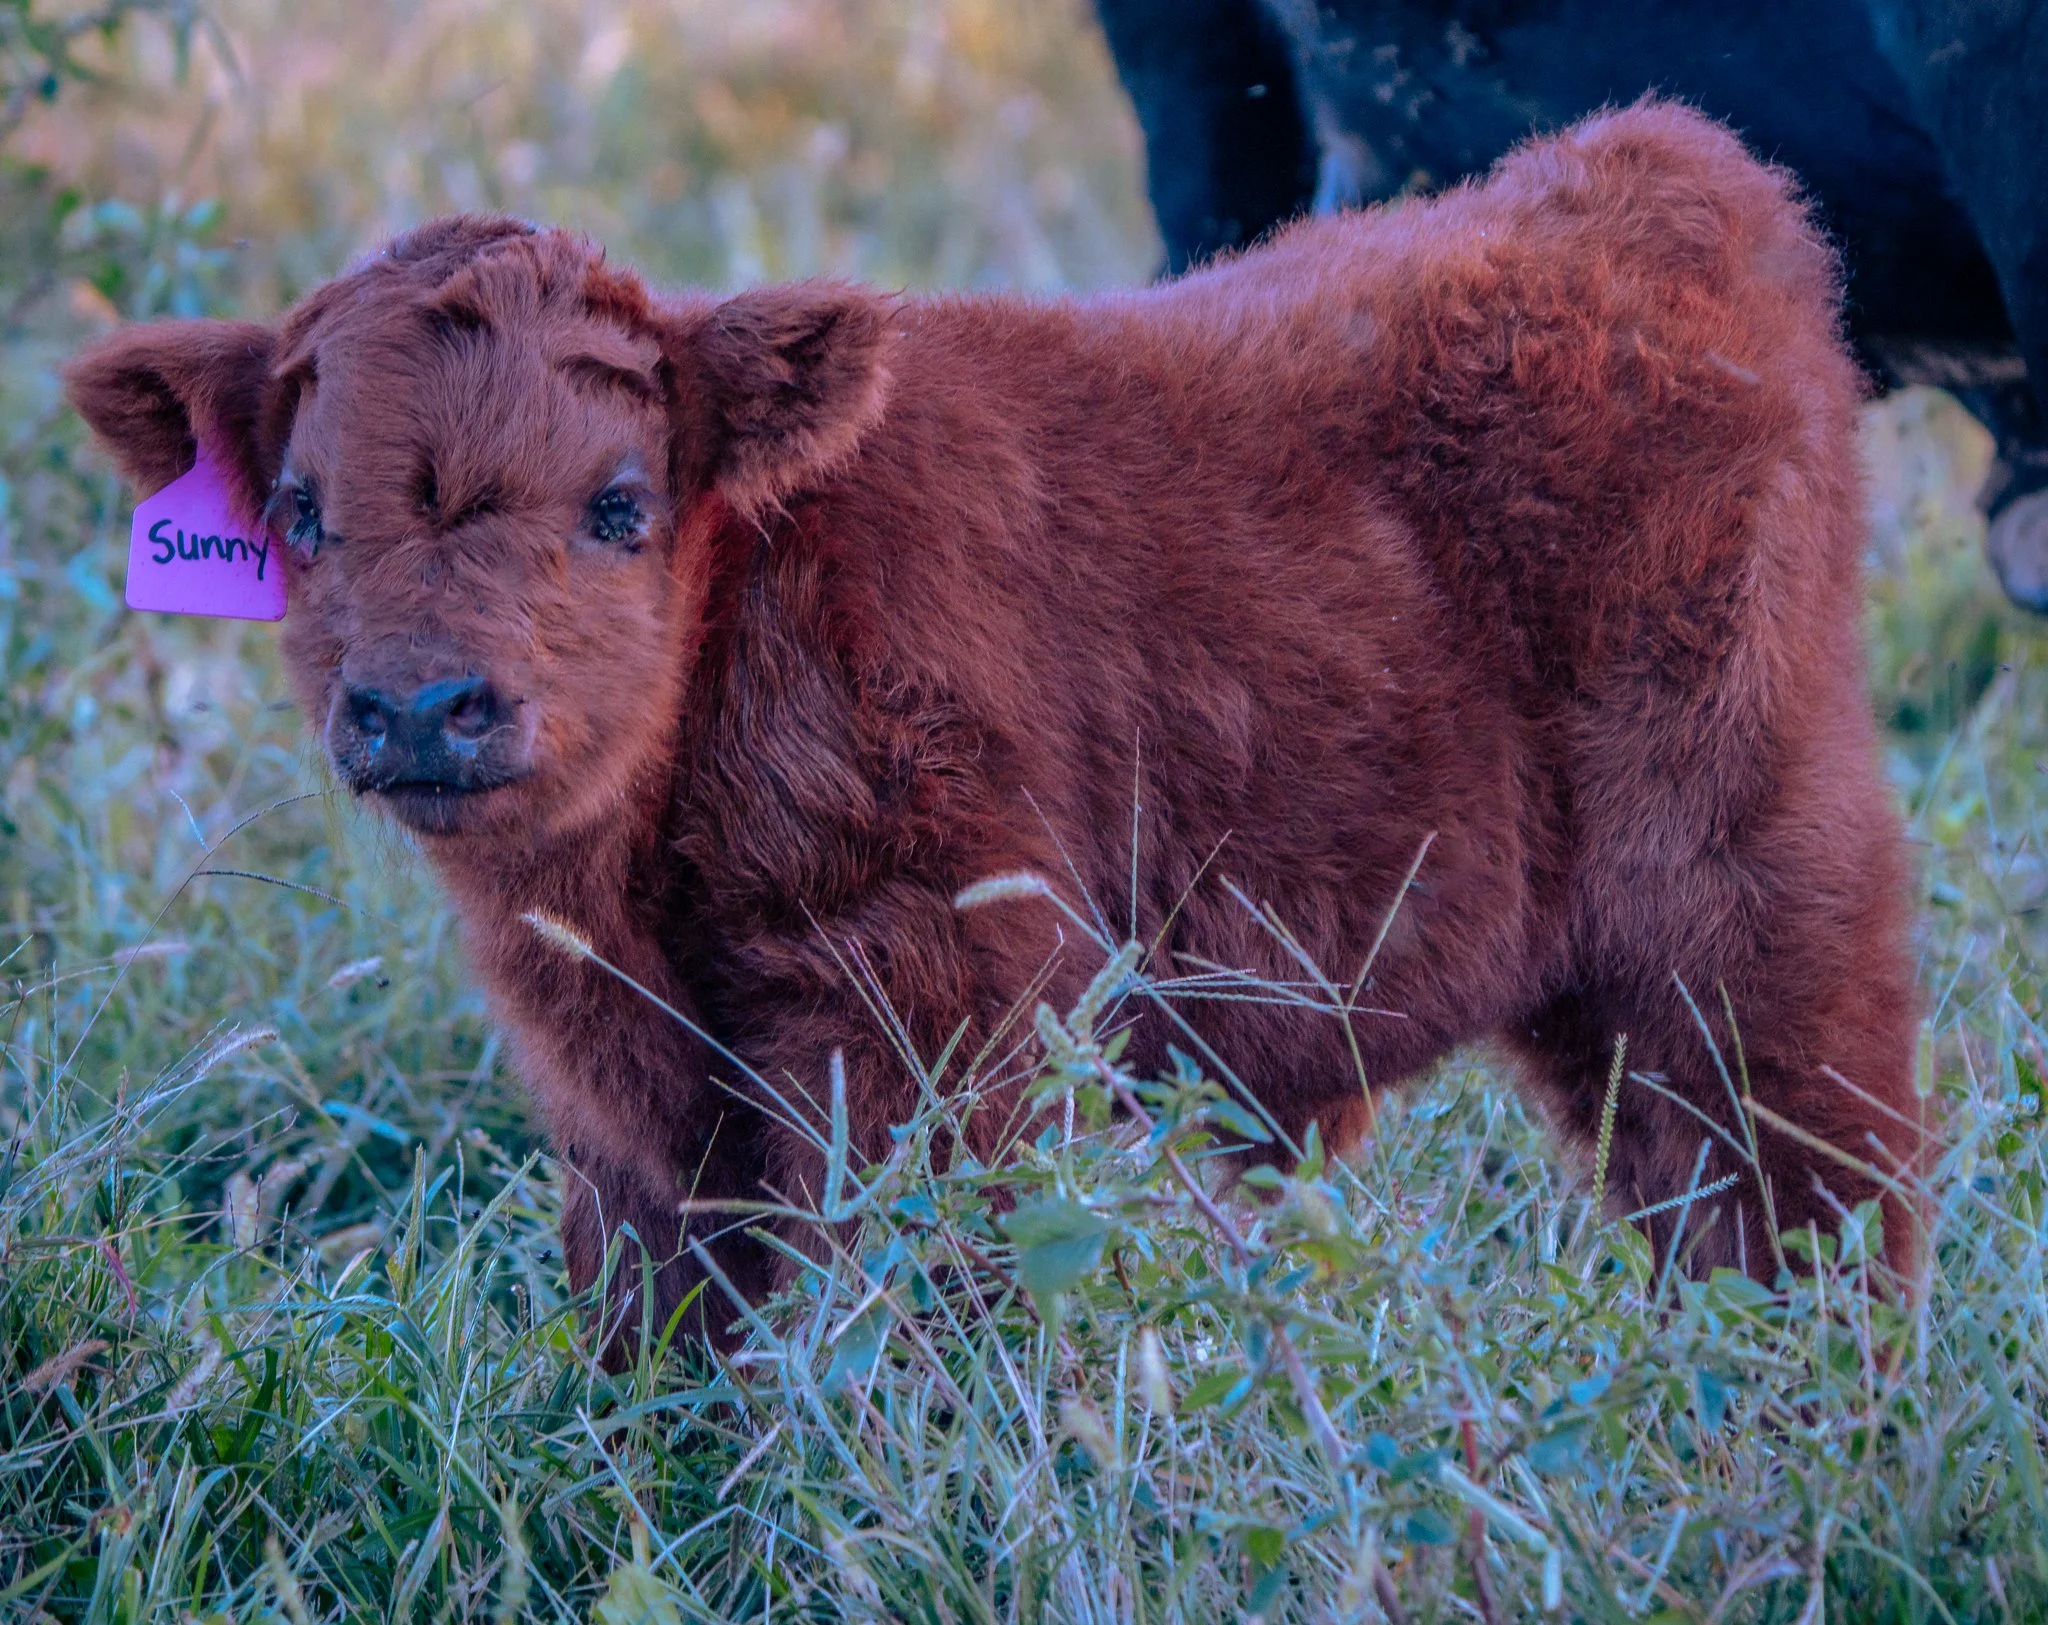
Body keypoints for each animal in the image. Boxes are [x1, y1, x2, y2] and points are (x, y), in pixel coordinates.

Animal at [67, 105, 1924, 1355]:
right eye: (302, 513)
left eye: (616, 504)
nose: (422, 704)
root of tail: (1645, 170)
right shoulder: (637, 1106)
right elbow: (659, 1333)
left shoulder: (937, 1014)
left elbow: (914, 1315)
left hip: (1735, 885)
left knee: (1798, 1170)